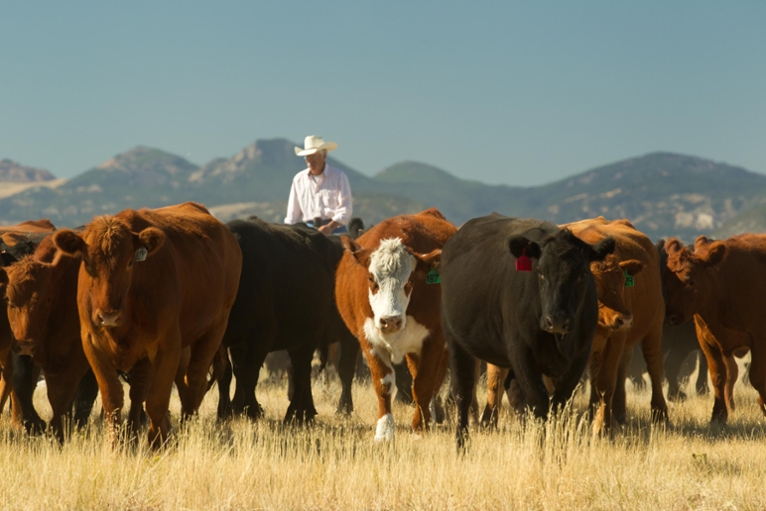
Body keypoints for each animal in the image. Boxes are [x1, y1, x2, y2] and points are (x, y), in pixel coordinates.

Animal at [54, 204, 240, 448]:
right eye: (86, 263)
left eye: (129, 262)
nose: (108, 316)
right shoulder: (92, 343)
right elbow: (113, 398)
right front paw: (116, 445)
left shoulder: (167, 345)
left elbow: (157, 400)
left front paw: (157, 442)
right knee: (143, 390)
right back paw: (135, 434)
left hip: (215, 327)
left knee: (193, 380)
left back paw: (185, 428)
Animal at [336, 210, 456, 442]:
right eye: (371, 278)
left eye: (410, 280)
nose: (390, 320)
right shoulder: (369, 340)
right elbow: (383, 384)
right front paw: (384, 430)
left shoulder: (434, 339)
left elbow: (424, 384)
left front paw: (421, 426)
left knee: (433, 380)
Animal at [440, 215, 616, 448]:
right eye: (540, 273)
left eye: (582, 274)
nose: (556, 320)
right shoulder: (522, 352)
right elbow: (539, 403)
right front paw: (541, 451)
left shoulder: (579, 358)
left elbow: (558, 405)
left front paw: (556, 451)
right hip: (457, 341)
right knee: (462, 391)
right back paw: (462, 446)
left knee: (514, 393)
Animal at [568, 218, 668, 434]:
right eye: (595, 284)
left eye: (623, 281)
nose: (625, 319)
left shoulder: (615, 340)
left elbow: (606, 384)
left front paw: (603, 428)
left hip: (654, 328)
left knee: (654, 367)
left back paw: (660, 415)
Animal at [664, 236, 766, 424]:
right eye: (666, 281)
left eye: (691, 281)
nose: (670, 316)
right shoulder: (709, 343)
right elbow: (718, 377)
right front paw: (718, 415)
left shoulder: (759, 340)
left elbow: (756, 377)